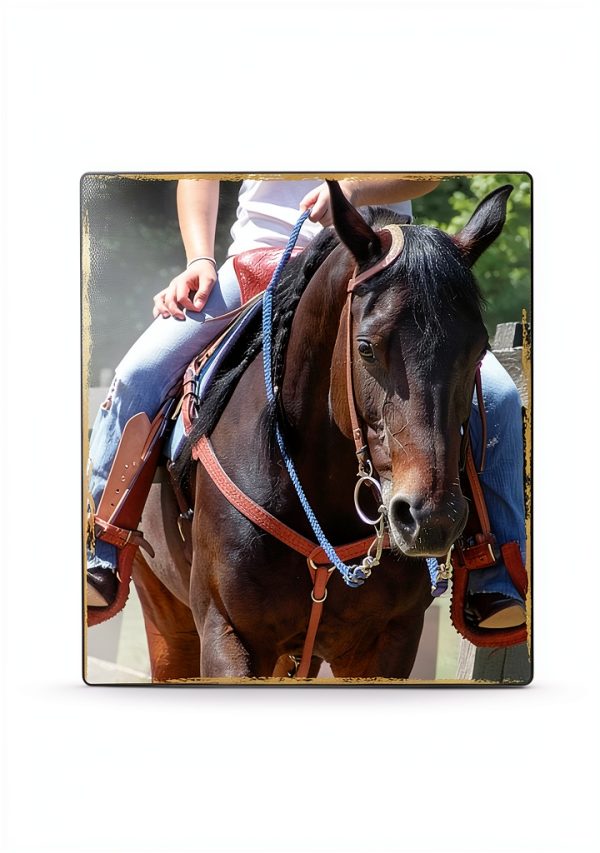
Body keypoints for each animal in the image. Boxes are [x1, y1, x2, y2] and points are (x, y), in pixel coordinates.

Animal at [132, 181, 511, 681]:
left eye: (479, 349)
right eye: (366, 347)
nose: (432, 519)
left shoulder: (385, 645)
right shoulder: (226, 635)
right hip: (167, 618)